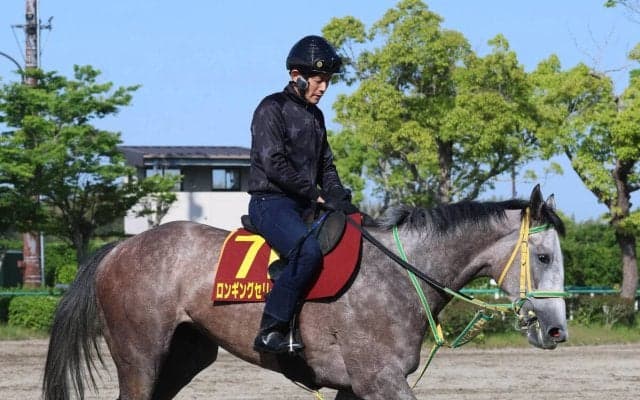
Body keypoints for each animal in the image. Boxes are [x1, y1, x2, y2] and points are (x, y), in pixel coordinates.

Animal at [43, 185, 568, 400]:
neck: (399, 275)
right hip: (140, 357)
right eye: (543, 258)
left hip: (186, 354)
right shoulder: (379, 382)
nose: (557, 330)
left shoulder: (356, 388)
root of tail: (120, 248)